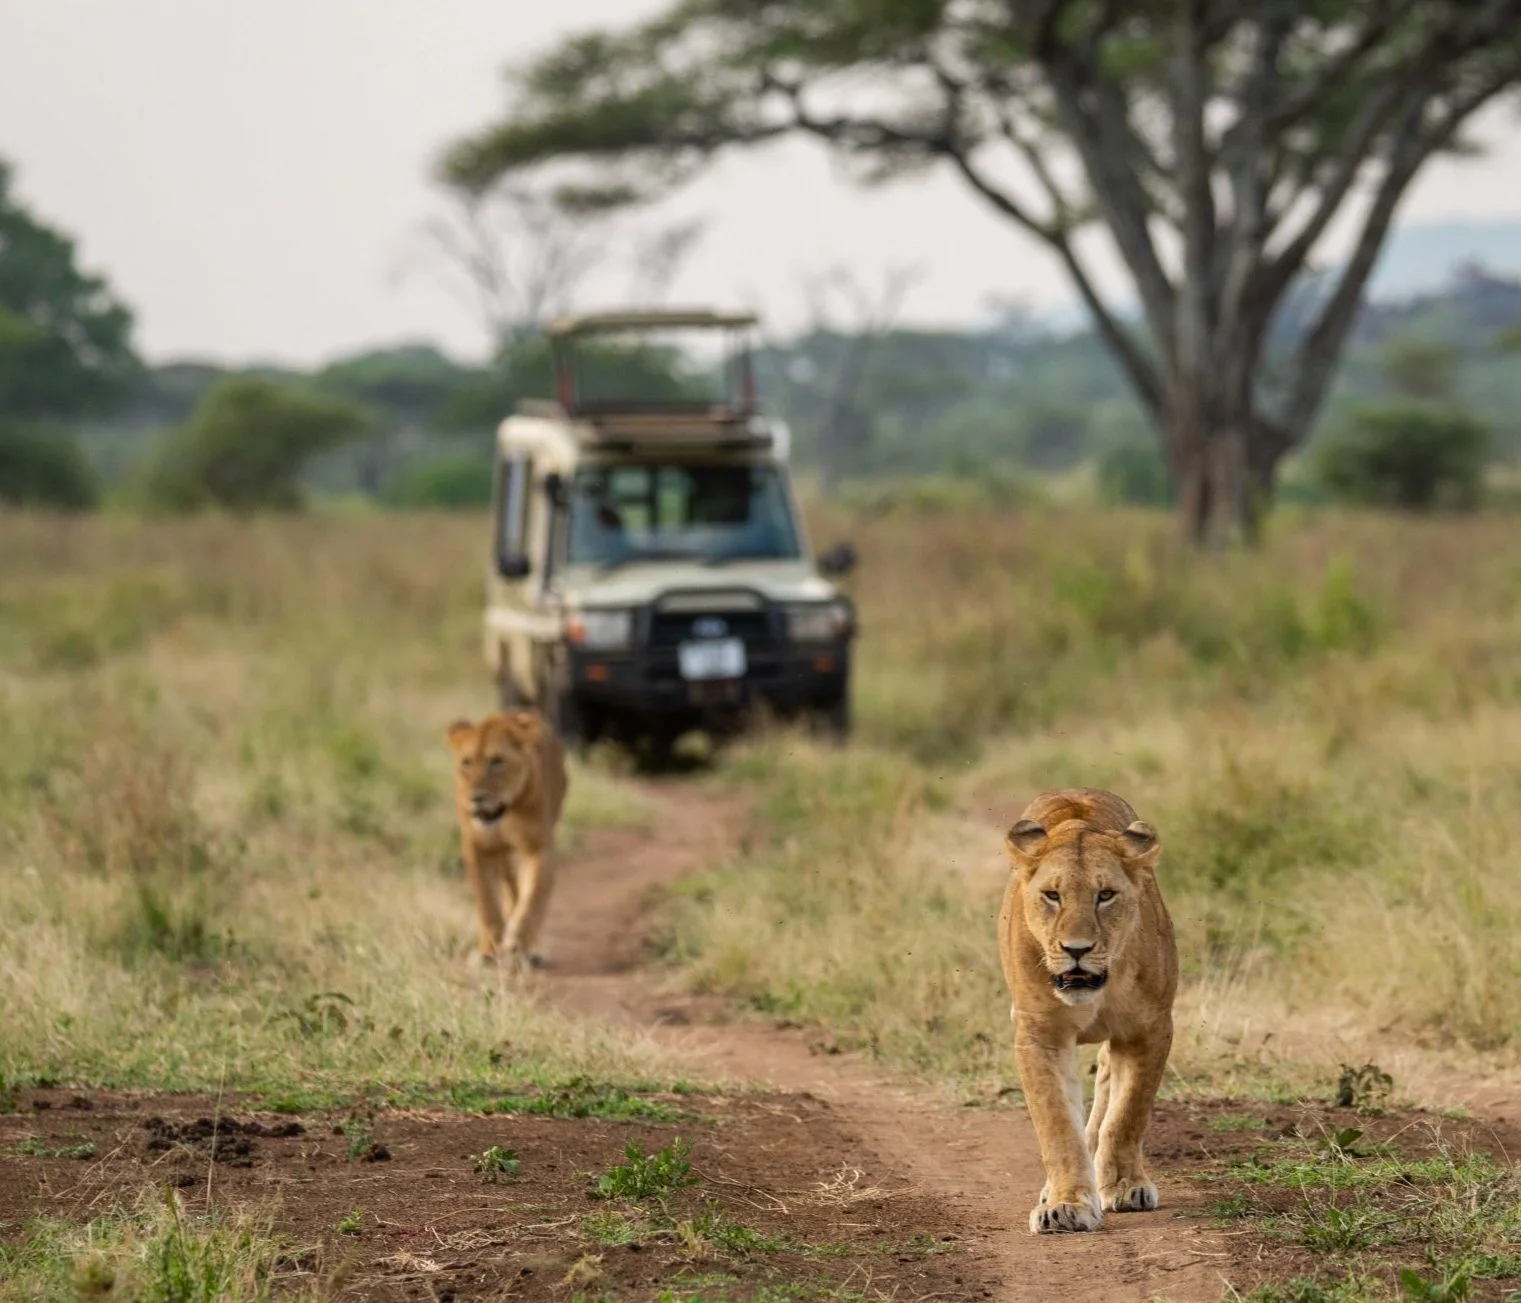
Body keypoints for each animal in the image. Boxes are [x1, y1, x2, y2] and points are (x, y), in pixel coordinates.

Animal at [450, 711, 571, 966]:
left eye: (497, 761)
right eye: (466, 762)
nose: (476, 798)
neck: (505, 814)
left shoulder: (537, 848)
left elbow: (533, 898)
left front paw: (517, 942)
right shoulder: (476, 847)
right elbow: (487, 903)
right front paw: (489, 950)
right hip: (502, 855)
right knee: (509, 890)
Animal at [1003, 790, 1180, 1234]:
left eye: (1106, 895)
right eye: (1052, 895)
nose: (1077, 949)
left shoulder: (1148, 1028)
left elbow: (1127, 1114)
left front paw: (1125, 1186)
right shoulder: (1039, 1035)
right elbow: (1057, 1124)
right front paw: (1064, 1204)